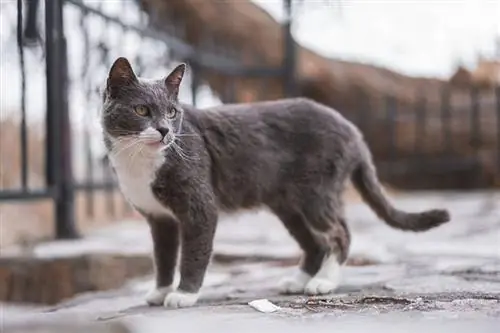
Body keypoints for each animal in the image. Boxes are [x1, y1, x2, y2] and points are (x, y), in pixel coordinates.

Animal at [100, 57, 450, 308]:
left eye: (173, 113)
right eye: (142, 110)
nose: (164, 130)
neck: (139, 162)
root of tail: (352, 128)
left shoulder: (199, 208)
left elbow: (193, 254)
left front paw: (184, 294)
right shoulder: (159, 218)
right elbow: (162, 257)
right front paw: (159, 292)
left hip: (317, 194)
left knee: (339, 233)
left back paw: (324, 282)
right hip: (288, 205)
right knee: (314, 243)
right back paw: (298, 281)